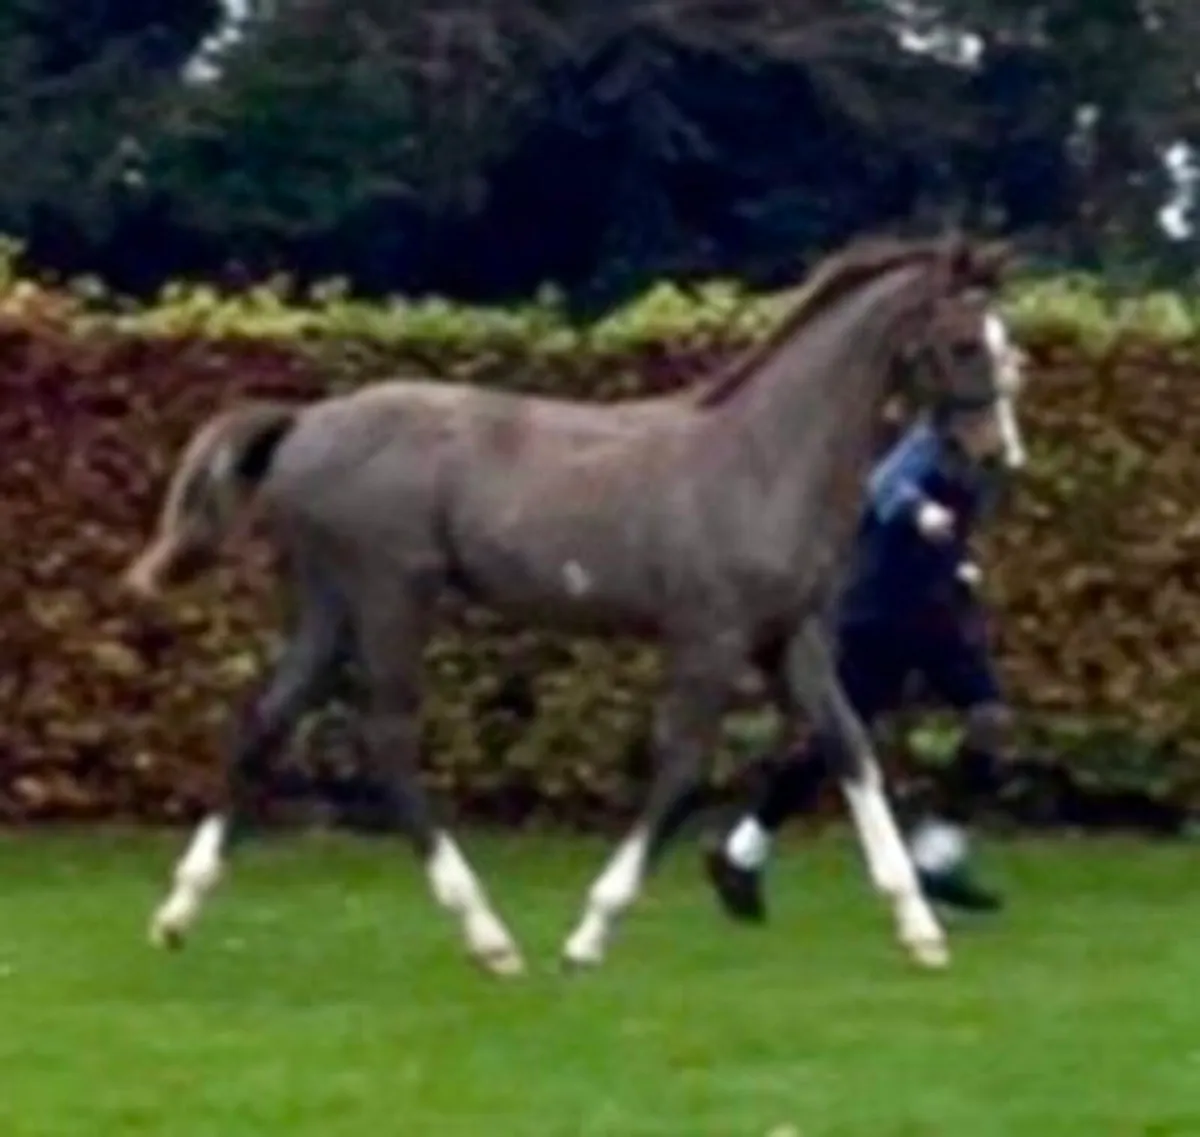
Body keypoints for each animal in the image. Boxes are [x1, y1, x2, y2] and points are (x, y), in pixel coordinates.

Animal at [122, 233, 1020, 977]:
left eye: (1005, 344)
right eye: (963, 342)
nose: (996, 455)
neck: (760, 458)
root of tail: (306, 422)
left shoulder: (789, 635)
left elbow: (849, 747)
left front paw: (919, 929)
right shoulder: (709, 635)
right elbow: (683, 769)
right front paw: (590, 933)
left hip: (331, 605)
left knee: (265, 722)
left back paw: (177, 912)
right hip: (389, 599)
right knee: (386, 744)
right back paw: (490, 937)